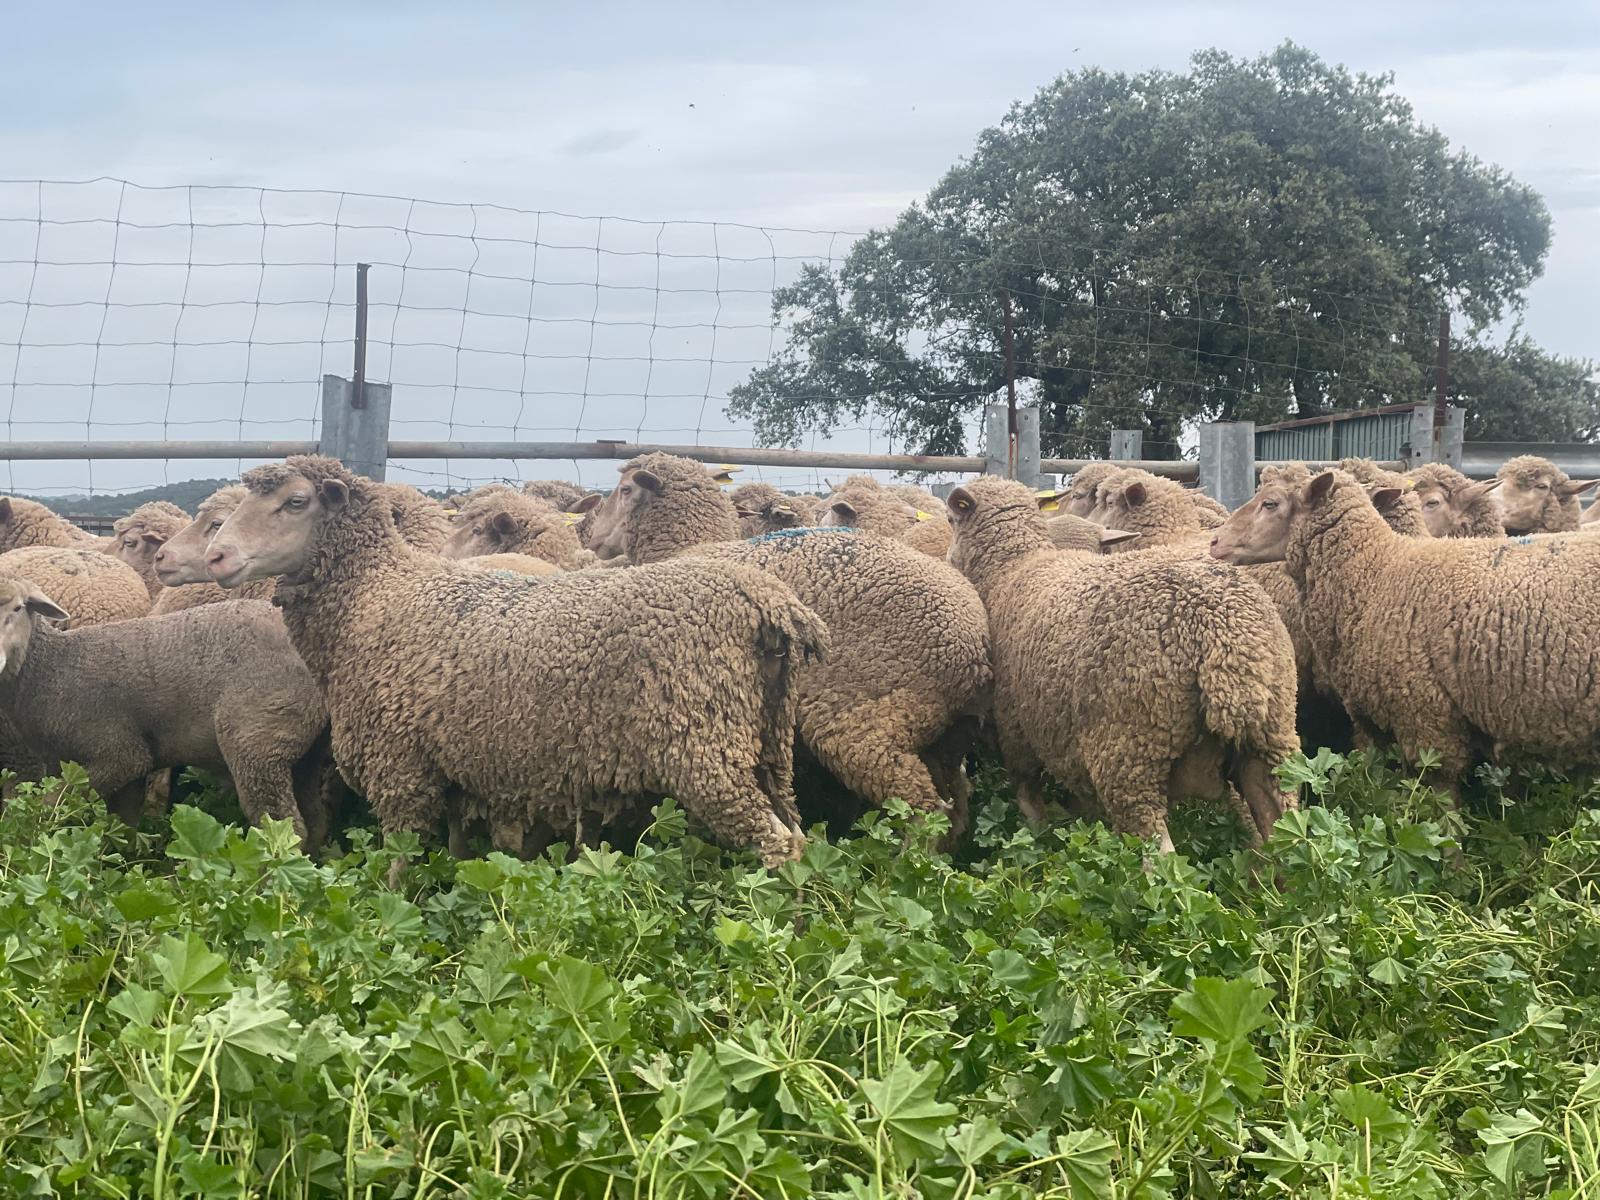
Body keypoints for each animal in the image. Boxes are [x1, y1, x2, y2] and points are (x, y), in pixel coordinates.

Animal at [0, 581, 333, 846]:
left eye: (18, 608)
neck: (52, 667)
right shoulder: (121, 766)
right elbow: (123, 827)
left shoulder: (118, 753)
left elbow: (54, 802)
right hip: (304, 750)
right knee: (315, 823)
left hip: (259, 739)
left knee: (284, 828)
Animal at [580, 452, 992, 833]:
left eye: (625, 490)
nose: (594, 539)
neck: (687, 547)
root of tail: (976, 642)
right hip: (945, 736)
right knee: (957, 805)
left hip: (868, 718)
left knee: (922, 807)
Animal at [944, 477, 1298, 850]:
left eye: (951, 520)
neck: (1013, 569)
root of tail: (1222, 634)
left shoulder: (1016, 732)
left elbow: (1031, 807)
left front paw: (1035, 842)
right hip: (1271, 742)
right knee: (1284, 833)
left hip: (1129, 751)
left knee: (1157, 851)